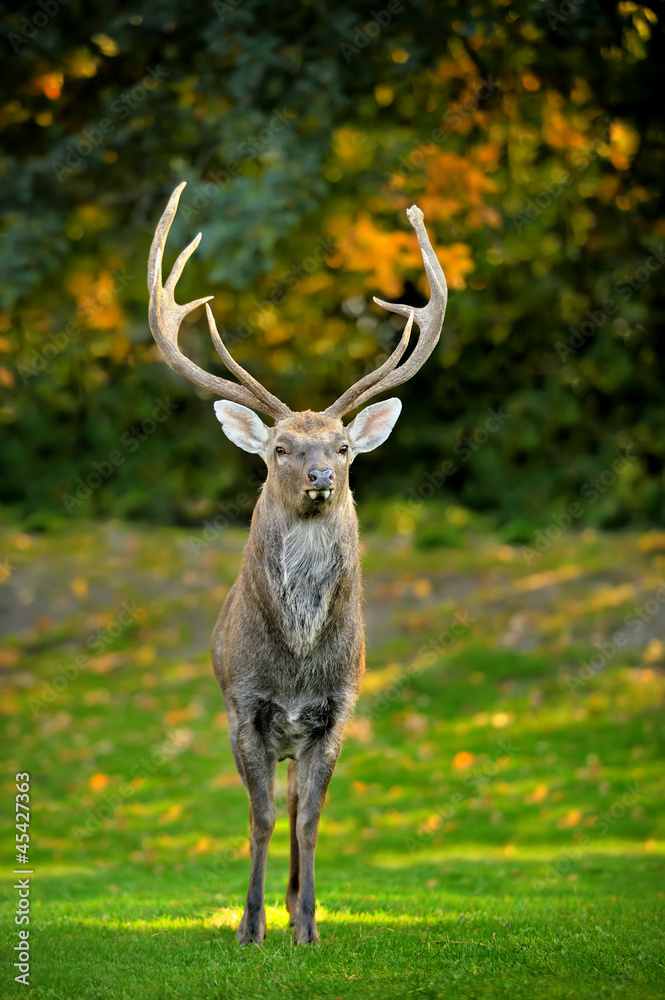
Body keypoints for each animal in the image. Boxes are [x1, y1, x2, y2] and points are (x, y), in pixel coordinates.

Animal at [146, 186, 446, 944]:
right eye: (280, 447)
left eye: (342, 446)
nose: (319, 476)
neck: (297, 663)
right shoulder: (242, 703)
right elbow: (256, 819)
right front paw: (249, 927)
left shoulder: (338, 708)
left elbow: (308, 820)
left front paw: (307, 925)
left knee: (291, 806)